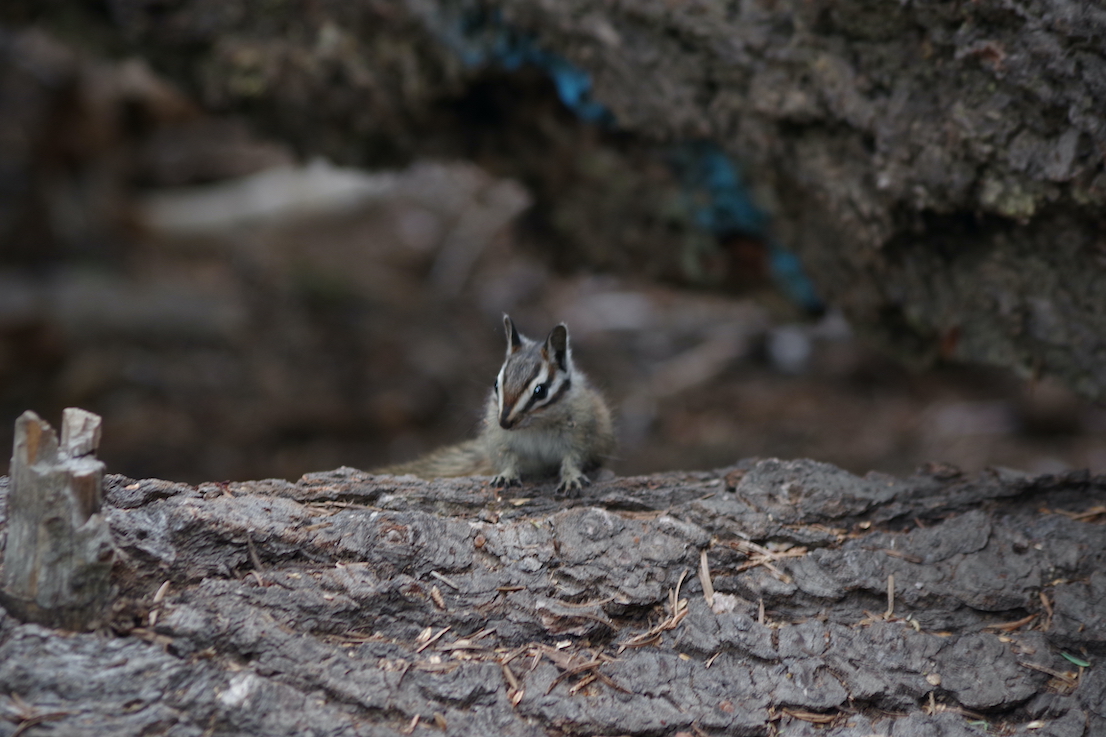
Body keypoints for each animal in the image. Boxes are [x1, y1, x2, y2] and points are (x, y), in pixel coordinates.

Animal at [378, 315, 615, 492]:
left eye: (540, 391)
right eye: (495, 384)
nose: (505, 422)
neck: (535, 425)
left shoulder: (582, 431)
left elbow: (574, 457)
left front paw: (571, 477)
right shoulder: (499, 437)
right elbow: (507, 457)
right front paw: (506, 475)